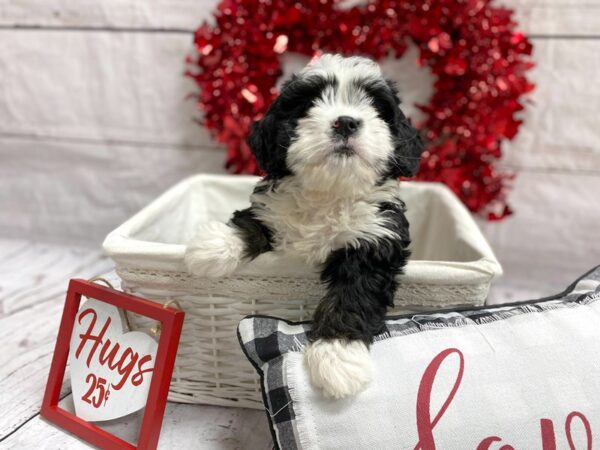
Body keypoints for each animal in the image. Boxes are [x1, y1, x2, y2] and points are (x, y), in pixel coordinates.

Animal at [185, 54, 424, 400]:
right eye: (309, 104)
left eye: (376, 107)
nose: (346, 122)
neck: (328, 192)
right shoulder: (271, 209)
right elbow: (252, 221)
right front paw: (214, 246)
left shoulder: (376, 239)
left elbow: (353, 294)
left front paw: (338, 355)